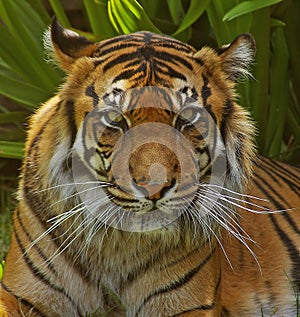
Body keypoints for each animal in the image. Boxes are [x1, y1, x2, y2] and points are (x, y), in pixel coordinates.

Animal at [0, 17, 298, 316]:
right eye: (115, 119)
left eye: (187, 117)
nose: (155, 187)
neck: (118, 246)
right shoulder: (19, 294)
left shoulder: (190, 304)